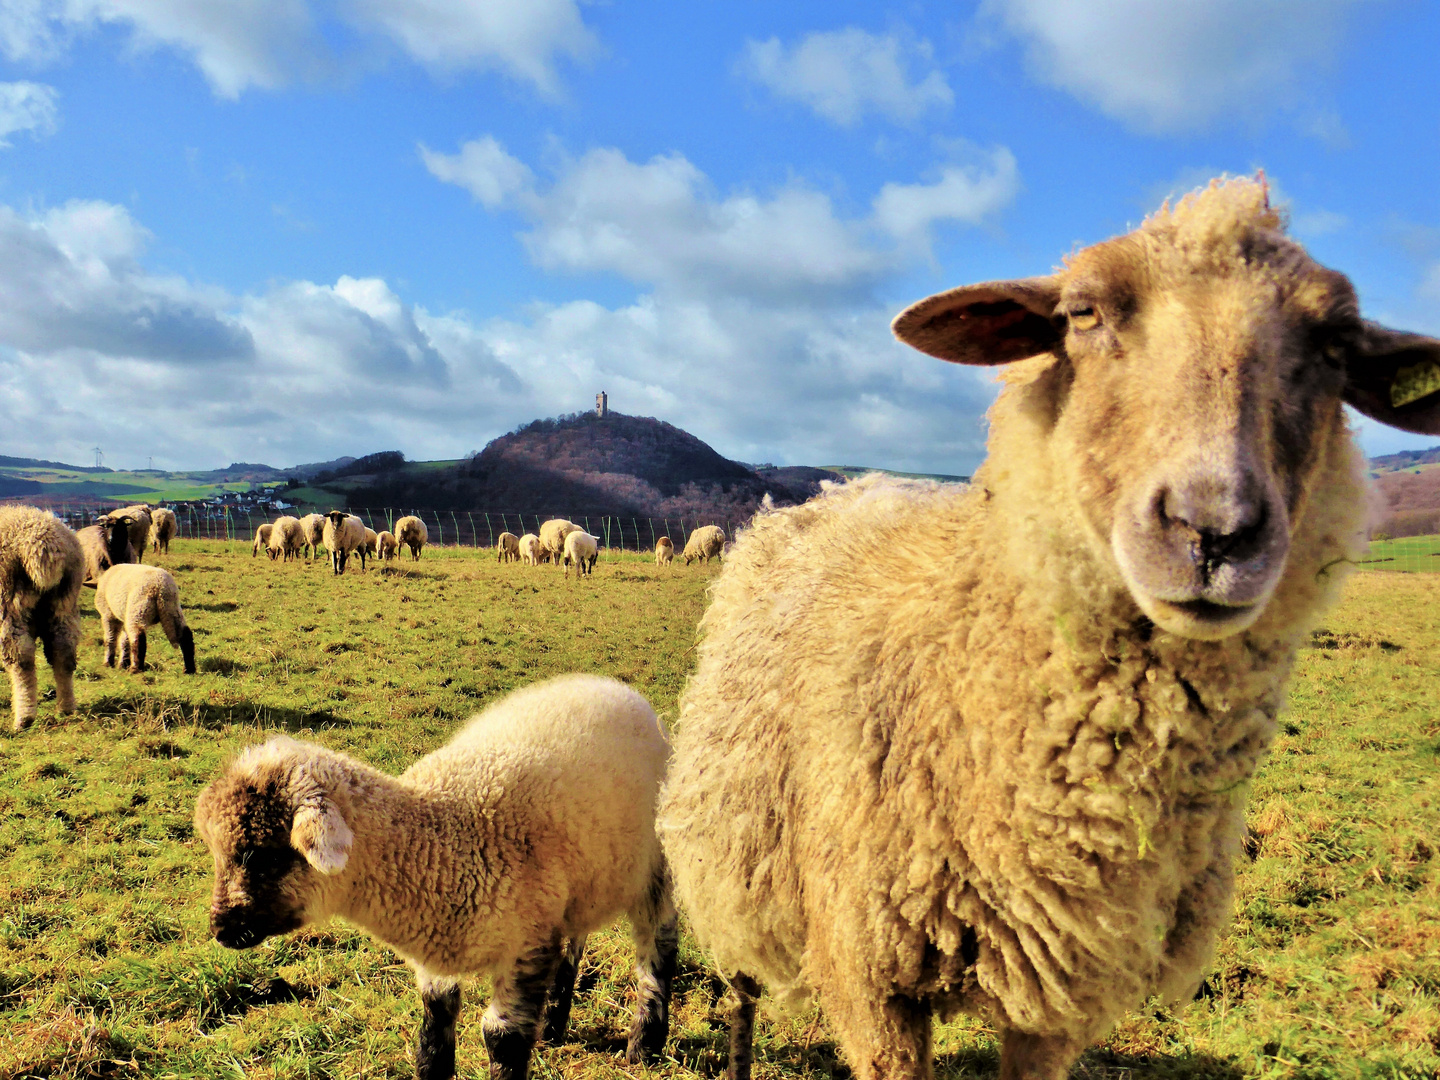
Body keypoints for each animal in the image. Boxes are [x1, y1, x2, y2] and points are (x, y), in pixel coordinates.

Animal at [0, 509, 82, 737]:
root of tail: (43, 542)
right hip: (64, 604)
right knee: (63, 653)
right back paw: (66, 708)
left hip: (10, 605)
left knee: (21, 661)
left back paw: (24, 718)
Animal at [192, 676, 679, 1080]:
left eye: (261, 855)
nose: (220, 929)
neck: (444, 835)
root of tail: (618, 688)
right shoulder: (440, 955)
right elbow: (434, 1026)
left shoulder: (525, 945)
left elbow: (501, 1038)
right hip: (582, 883)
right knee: (576, 939)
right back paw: (555, 1026)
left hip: (656, 868)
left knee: (658, 948)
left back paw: (645, 1047)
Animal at [656, 177, 1440, 1080]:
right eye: (1084, 313)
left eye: (1337, 345)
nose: (1214, 530)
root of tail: (843, 485)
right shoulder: (868, 973)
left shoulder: (1062, 989)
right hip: (735, 856)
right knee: (742, 987)